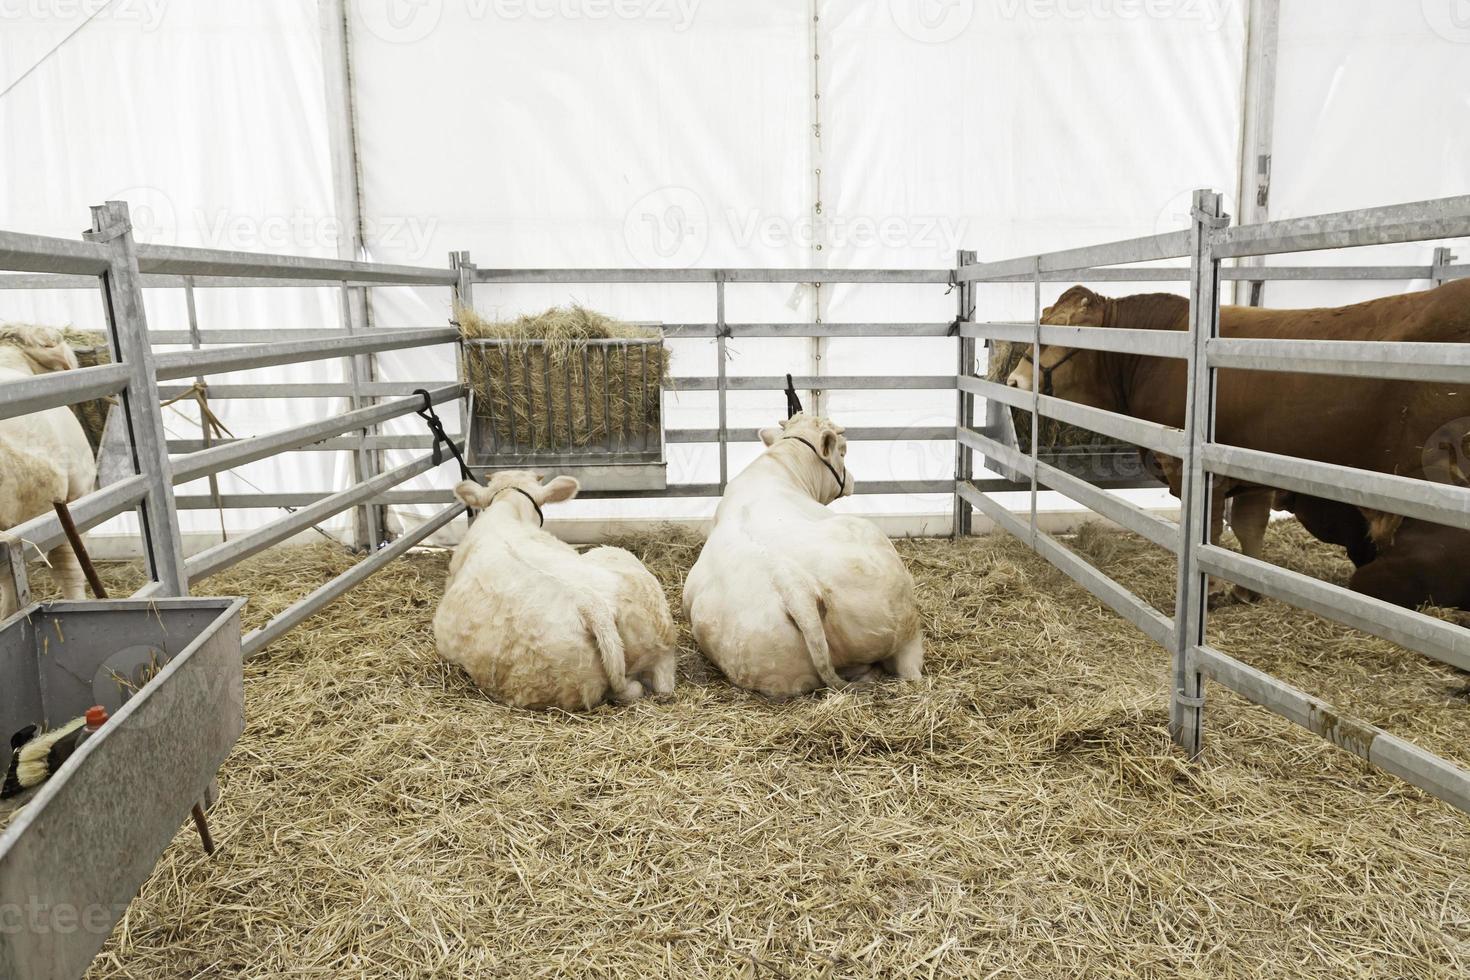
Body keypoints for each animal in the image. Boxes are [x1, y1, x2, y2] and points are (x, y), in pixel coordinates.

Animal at [682, 414, 923, 696]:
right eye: (843, 451)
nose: (852, 480)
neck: (780, 466)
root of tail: (793, 585)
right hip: (901, 617)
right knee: (909, 668)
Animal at [1011, 279, 1470, 608]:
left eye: (1055, 333)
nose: (1013, 380)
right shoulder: (1255, 472)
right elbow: (1250, 528)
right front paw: (1246, 588)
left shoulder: (1198, 471)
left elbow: (1211, 531)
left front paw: (1211, 590)